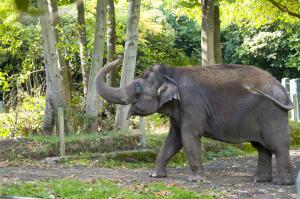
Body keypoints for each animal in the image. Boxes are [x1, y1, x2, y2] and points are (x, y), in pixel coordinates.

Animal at [96, 56, 296, 186]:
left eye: (138, 88)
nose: (120, 56)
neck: (173, 72)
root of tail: (282, 89)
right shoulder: (179, 111)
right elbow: (173, 139)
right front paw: (155, 176)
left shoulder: (192, 104)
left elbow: (189, 136)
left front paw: (195, 180)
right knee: (261, 147)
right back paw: (259, 180)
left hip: (273, 114)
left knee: (276, 145)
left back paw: (282, 183)